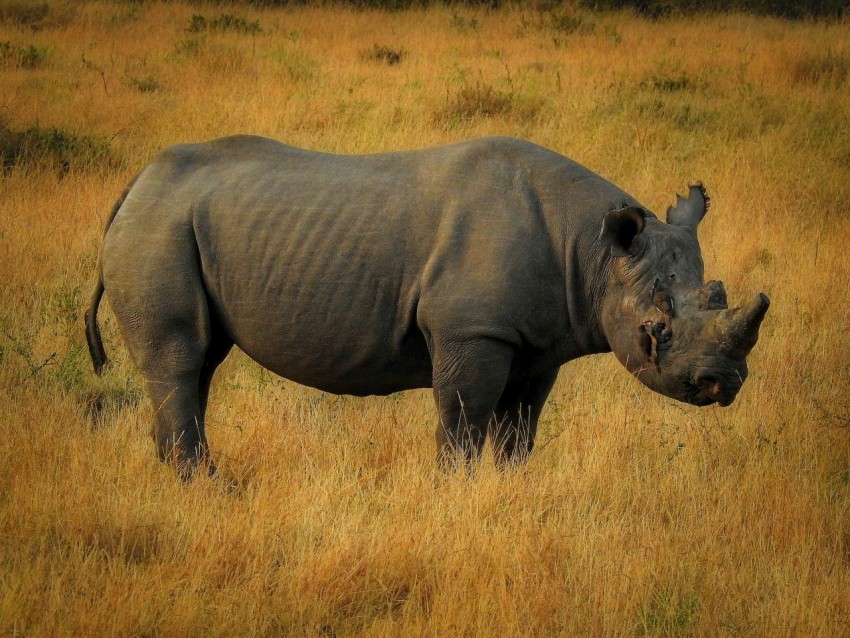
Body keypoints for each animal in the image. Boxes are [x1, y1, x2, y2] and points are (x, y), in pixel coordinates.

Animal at [85, 136, 769, 476]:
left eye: (716, 297)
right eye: (654, 329)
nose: (723, 385)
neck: (595, 251)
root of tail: (136, 182)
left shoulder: (537, 342)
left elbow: (519, 429)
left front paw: (510, 492)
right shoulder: (474, 329)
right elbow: (463, 420)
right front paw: (455, 496)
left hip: (177, 223)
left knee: (200, 363)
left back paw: (186, 479)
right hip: (160, 226)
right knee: (179, 357)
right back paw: (203, 486)